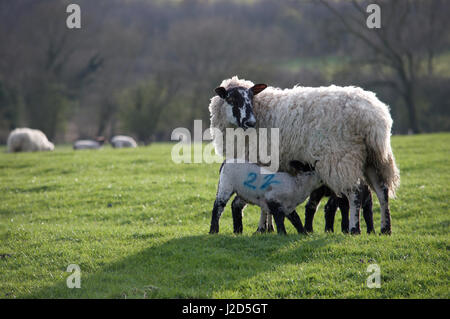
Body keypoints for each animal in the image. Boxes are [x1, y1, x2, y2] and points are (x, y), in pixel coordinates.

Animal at [209, 75, 400, 235]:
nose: (250, 122)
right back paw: (385, 228)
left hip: (341, 157)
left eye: (251, 98)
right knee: (382, 191)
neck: (261, 110)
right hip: (372, 159)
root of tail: (373, 117)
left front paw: (262, 228)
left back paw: (354, 229)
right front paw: (268, 228)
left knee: (355, 193)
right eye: (231, 99)